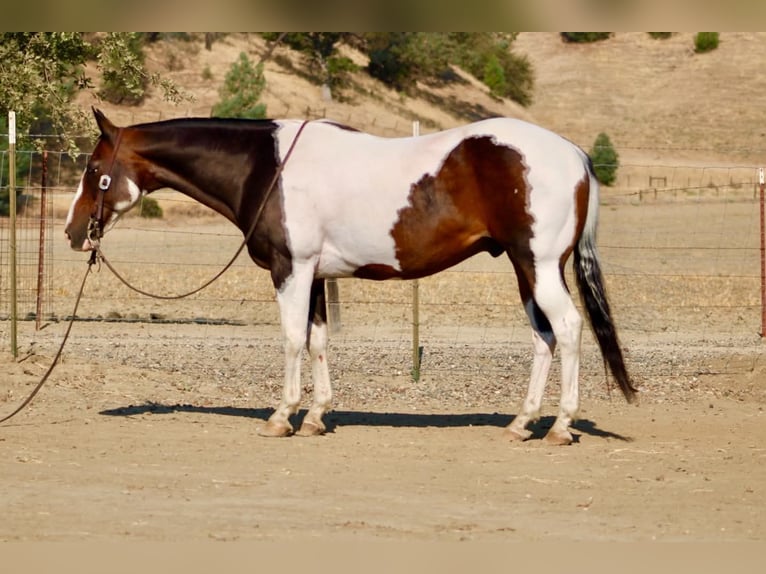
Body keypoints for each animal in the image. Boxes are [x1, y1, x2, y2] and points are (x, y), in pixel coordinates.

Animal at [65, 108, 637, 445]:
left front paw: (282, 416)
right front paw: (317, 416)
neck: (266, 168)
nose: (74, 232)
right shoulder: (317, 276)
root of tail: (575, 154)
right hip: (526, 270)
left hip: (538, 265)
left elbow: (292, 339)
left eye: (94, 171)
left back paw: (560, 427)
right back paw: (522, 424)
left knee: (568, 330)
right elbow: (318, 340)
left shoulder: (290, 269)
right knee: (544, 338)